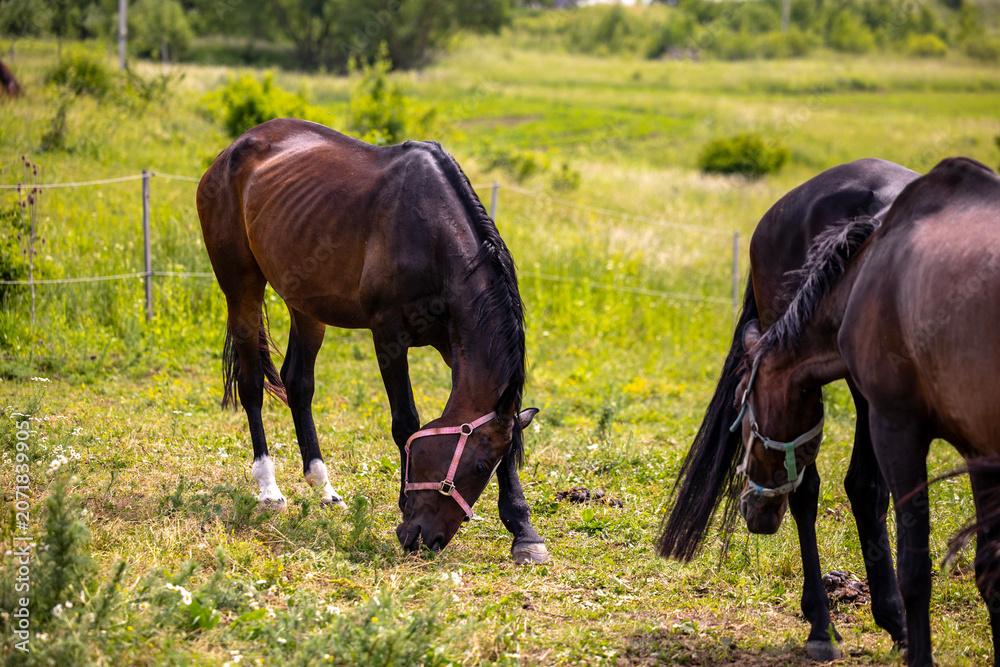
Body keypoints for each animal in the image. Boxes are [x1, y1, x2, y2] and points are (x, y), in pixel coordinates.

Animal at [197, 118, 548, 564]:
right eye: (480, 466)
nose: (426, 539)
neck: (432, 235)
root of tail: (230, 152)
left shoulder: (454, 346)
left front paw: (524, 532)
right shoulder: (388, 335)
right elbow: (405, 423)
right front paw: (403, 503)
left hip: (306, 304)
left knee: (298, 385)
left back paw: (324, 487)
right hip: (241, 288)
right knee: (252, 385)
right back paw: (268, 488)